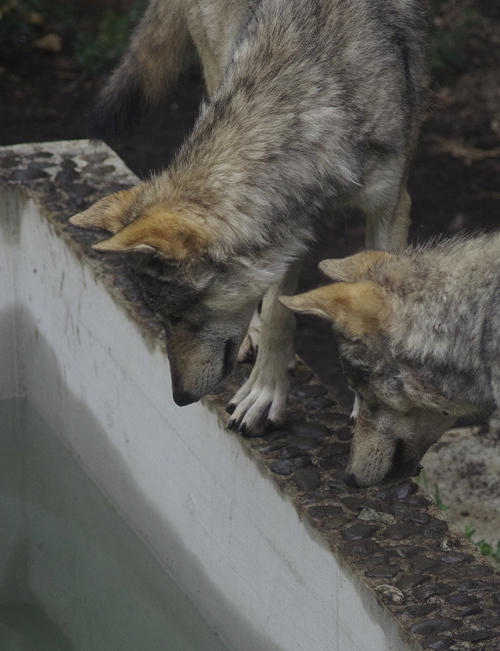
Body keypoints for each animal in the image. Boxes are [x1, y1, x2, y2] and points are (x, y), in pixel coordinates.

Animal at [72, 1, 428, 438]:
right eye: (163, 318)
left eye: (175, 317)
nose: (180, 399)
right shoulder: (293, 224)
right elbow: (276, 311)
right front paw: (265, 393)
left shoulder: (389, 206)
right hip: (218, 58)